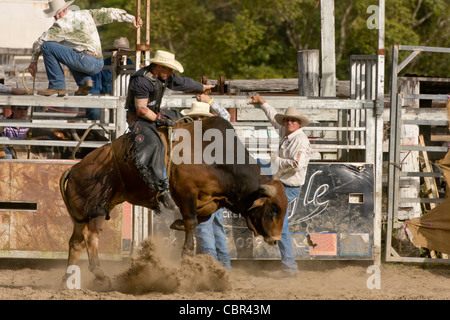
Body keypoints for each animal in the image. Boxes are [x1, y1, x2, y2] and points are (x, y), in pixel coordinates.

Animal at [59, 116, 288, 284]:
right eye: (273, 209)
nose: (275, 239)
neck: (214, 155)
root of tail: (74, 168)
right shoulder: (186, 192)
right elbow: (192, 222)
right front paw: (186, 254)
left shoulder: (211, 200)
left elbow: (199, 220)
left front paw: (177, 224)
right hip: (96, 211)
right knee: (91, 238)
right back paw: (100, 274)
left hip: (82, 216)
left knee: (76, 243)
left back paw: (68, 280)